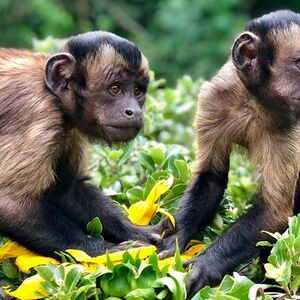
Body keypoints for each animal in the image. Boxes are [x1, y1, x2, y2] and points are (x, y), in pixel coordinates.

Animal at [0, 31, 162, 258]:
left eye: (137, 91)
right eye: (115, 89)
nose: (134, 111)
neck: (54, 96)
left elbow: (66, 191)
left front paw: (135, 231)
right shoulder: (36, 113)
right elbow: (9, 202)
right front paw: (100, 250)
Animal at [155, 10, 300, 298]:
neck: (255, 100)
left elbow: (275, 211)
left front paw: (206, 265)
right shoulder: (215, 97)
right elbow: (210, 177)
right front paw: (176, 238)